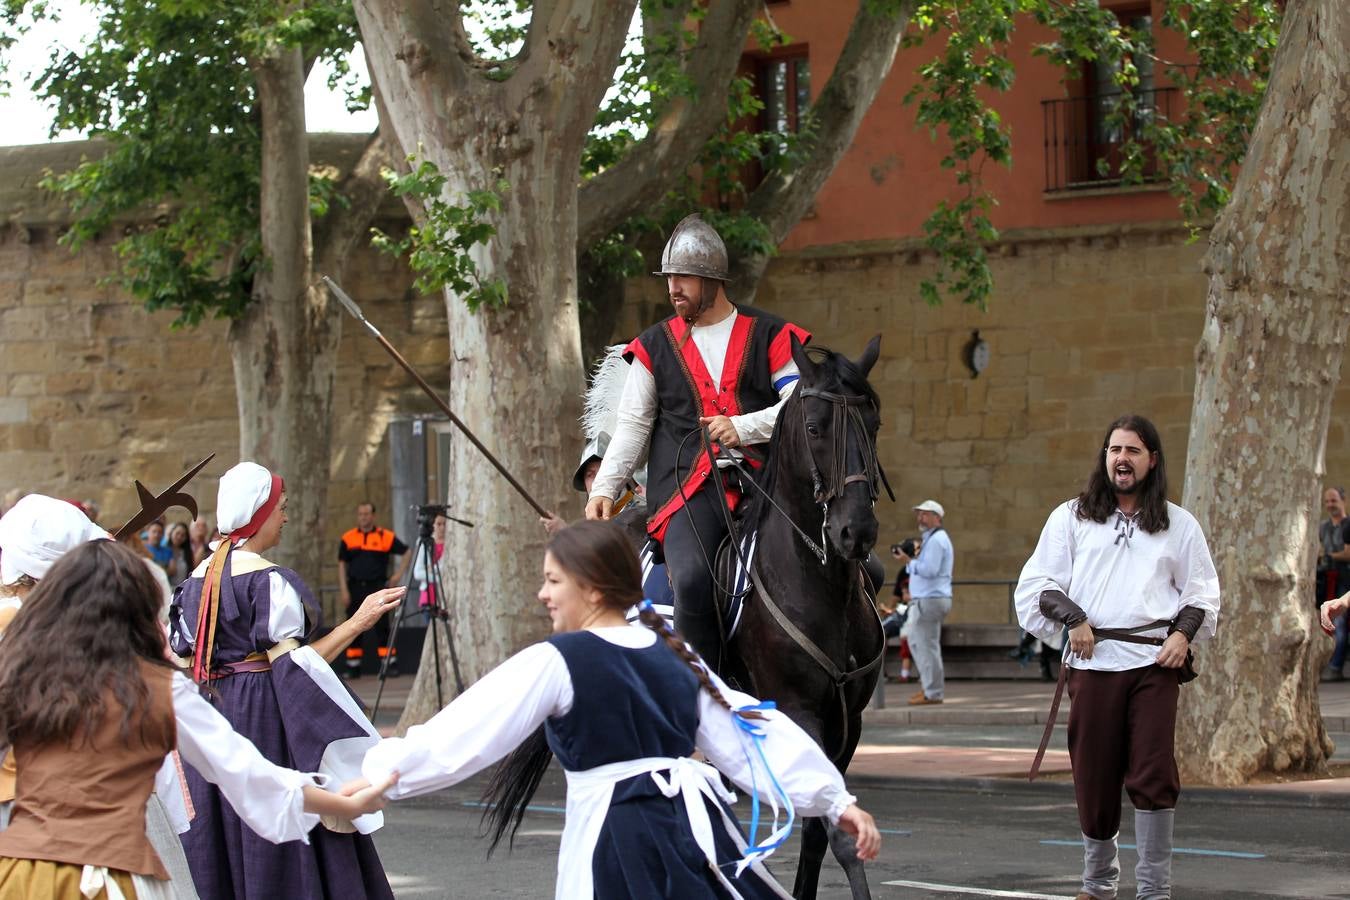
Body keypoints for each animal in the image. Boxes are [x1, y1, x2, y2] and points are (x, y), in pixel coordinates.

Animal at [723, 333, 891, 900]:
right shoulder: (799, 711)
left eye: (874, 425)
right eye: (815, 428)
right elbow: (835, 833)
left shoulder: (848, 723)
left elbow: (821, 833)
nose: (856, 532)